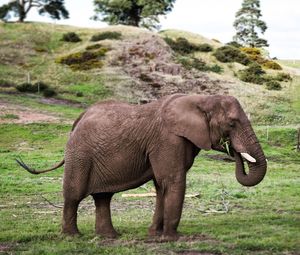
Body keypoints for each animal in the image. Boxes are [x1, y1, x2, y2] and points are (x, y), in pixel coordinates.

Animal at [17, 93, 268, 241]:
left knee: (103, 197)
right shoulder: (168, 139)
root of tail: (77, 120)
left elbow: (160, 185)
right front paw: (172, 238)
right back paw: (73, 237)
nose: (232, 149)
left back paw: (110, 237)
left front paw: (155, 234)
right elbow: (172, 180)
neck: (200, 98)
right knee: (74, 195)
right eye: (232, 124)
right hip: (79, 154)